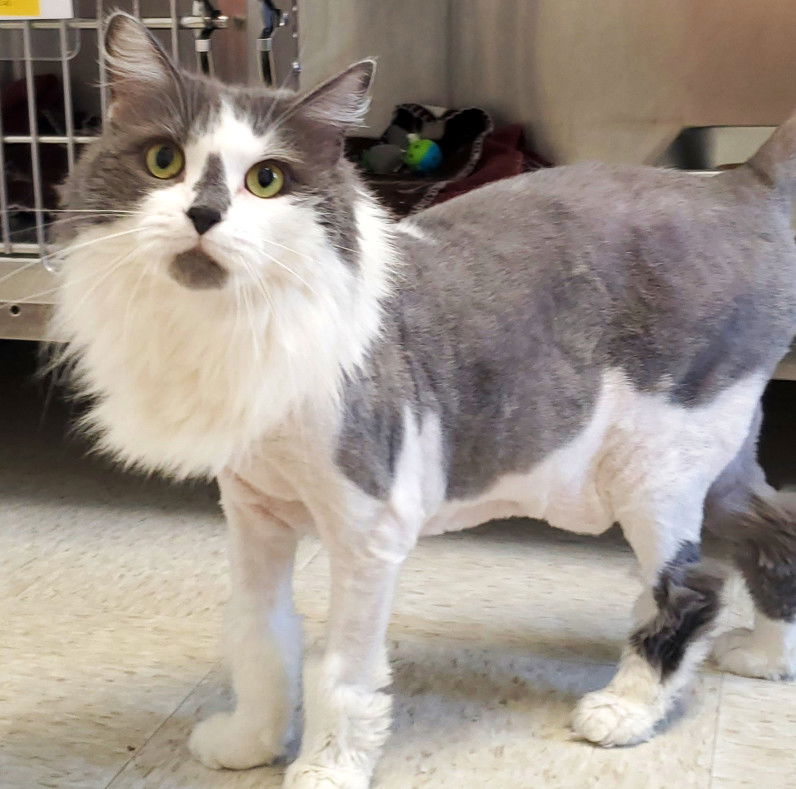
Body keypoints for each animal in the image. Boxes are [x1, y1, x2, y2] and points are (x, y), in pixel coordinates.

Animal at [49, 12, 796, 788]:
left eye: (266, 180)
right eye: (164, 161)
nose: (203, 212)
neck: (236, 329)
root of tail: (738, 185)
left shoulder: (367, 530)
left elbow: (343, 672)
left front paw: (327, 766)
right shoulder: (254, 515)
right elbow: (262, 638)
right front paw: (252, 740)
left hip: (652, 466)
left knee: (693, 585)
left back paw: (627, 707)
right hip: (715, 457)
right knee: (778, 531)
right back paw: (767, 657)